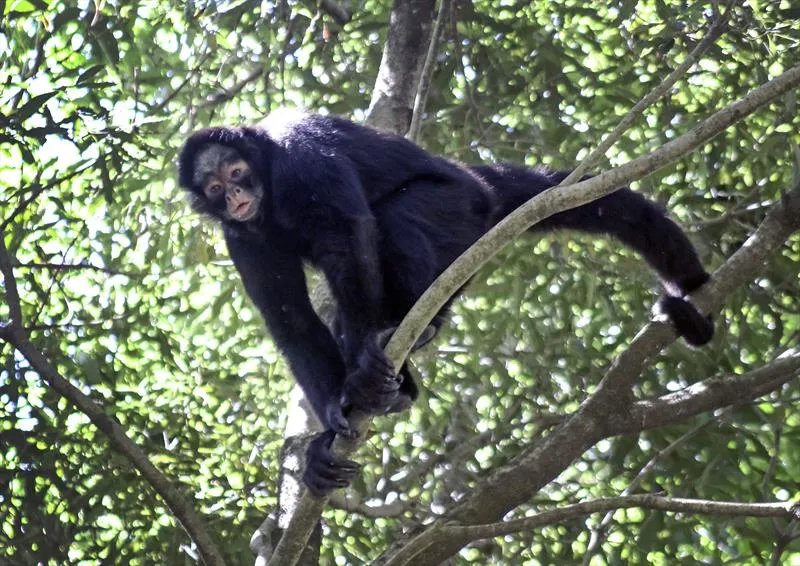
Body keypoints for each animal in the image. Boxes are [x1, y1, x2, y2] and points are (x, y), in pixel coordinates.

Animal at [178, 110, 716, 496]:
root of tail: (477, 181)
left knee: (396, 216)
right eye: (215, 188)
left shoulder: (301, 154)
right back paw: (399, 384)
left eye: (237, 170)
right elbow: (290, 319)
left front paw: (361, 374)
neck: (269, 183)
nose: (237, 195)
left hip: (459, 210)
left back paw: (413, 332)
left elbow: (348, 236)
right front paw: (332, 419)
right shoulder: (240, 236)